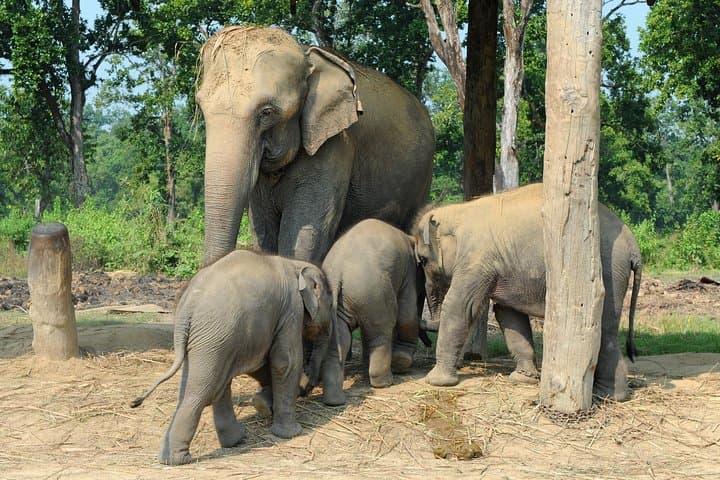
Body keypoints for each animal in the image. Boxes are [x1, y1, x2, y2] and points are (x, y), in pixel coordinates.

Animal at [129, 249, 333, 465]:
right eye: (330, 302)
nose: (307, 387)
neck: (295, 264)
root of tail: (187, 307)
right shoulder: (291, 308)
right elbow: (284, 362)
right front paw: (291, 433)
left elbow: (260, 364)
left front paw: (263, 404)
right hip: (215, 335)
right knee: (202, 391)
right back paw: (180, 459)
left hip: (213, 340)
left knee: (211, 385)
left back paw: (229, 441)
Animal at [197, 26, 434, 267]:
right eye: (200, 107)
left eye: (267, 112)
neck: (306, 55)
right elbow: (263, 230)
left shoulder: (336, 143)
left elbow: (304, 234)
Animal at [315, 219, 428, 406]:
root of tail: (338, 271)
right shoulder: (409, 271)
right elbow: (407, 313)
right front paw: (402, 363)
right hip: (374, 293)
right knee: (381, 332)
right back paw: (384, 382)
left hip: (336, 304)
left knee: (340, 340)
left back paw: (334, 400)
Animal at [413, 183, 642, 401]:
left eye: (422, 260)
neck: (458, 211)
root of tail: (633, 246)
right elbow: (507, 313)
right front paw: (523, 379)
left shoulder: (476, 259)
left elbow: (460, 306)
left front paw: (436, 382)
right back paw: (610, 395)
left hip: (609, 269)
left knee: (603, 325)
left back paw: (608, 395)